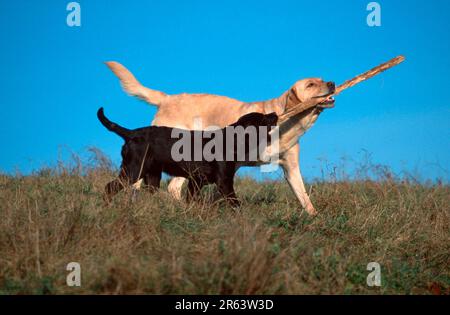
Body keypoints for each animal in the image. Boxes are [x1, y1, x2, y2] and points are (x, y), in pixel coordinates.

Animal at [98, 108, 278, 207]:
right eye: (262, 118)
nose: (275, 113)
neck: (232, 140)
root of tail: (131, 133)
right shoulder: (224, 182)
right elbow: (236, 204)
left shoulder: (196, 182)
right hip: (133, 171)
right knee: (109, 187)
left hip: (152, 177)